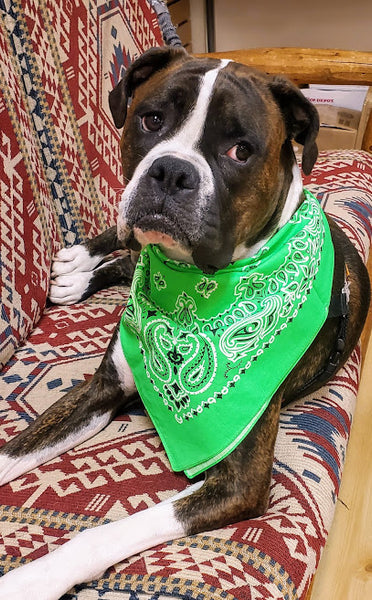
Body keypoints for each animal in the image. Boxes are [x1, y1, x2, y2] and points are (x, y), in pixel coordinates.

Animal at [0, 48, 370, 600]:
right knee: (126, 252)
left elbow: (102, 535)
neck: (189, 287)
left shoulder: (239, 483)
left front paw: (30, 580)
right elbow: (11, 453)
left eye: (241, 151)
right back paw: (77, 265)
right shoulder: (99, 392)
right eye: (151, 120)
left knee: (127, 261)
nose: (171, 170)